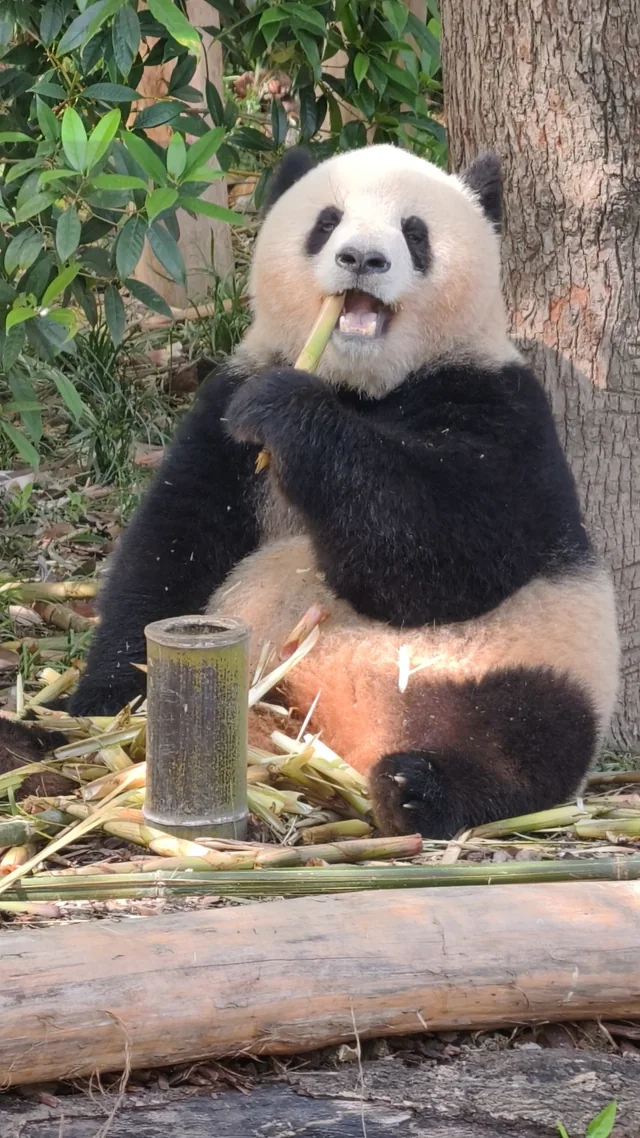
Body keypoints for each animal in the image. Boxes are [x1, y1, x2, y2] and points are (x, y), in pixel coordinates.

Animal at [62, 144, 618, 839]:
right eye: (326, 223)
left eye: (415, 233)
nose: (362, 259)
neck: (359, 387)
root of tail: (342, 736)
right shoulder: (224, 410)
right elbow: (172, 549)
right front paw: (102, 704)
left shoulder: (501, 406)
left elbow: (450, 554)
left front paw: (289, 413)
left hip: (526, 657)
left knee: (526, 733)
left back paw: (419, 789)